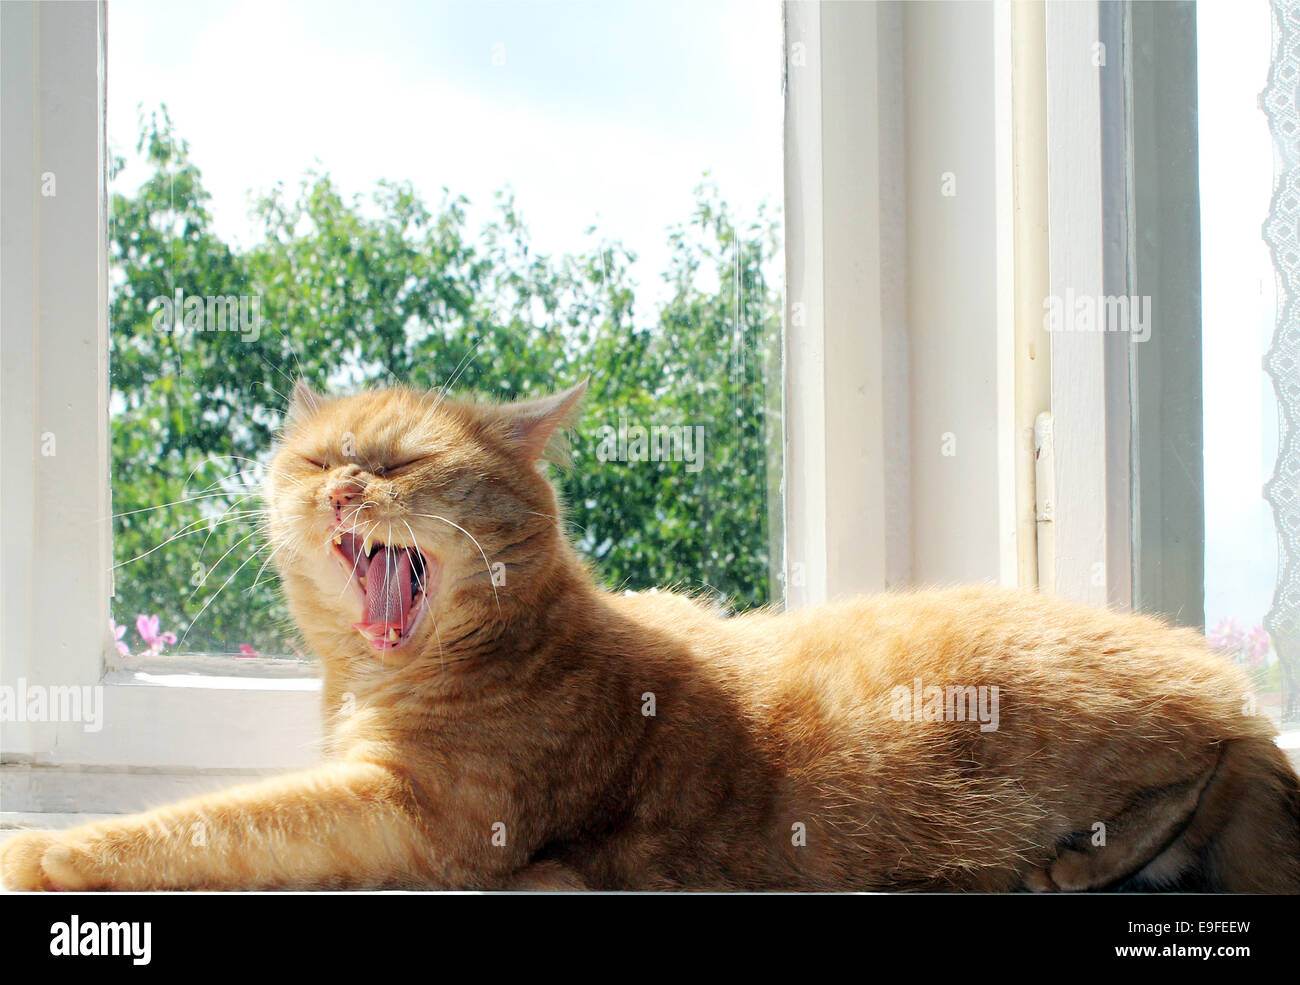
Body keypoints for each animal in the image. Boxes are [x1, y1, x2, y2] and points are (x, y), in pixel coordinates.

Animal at [2, 384, 1300, 894]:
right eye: (324, 457)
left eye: (405, 460)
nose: (344, 489)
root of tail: (1229, 686)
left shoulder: (419, 816)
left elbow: (205, 822)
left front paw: (40, 849)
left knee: (1204, 775)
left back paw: (1077, 858)